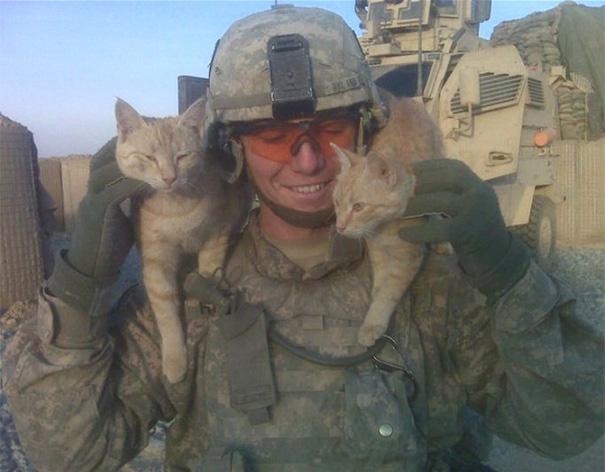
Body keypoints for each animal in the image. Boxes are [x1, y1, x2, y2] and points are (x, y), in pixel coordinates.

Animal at [114, 97, 251, 382]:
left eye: (182, 156)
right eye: (150, 157)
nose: (169, 177)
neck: (175, 208)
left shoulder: (216, 235)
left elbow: (208, 272)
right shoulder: (156, 260)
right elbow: (166, 312)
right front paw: (175, 360)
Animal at [330, 92, 444, 344]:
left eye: (359, 207)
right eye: (337, 203)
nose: (340, 227)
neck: (384, 229)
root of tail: (405, 99)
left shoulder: (407, 258)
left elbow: (388, 292)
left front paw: (373, 323)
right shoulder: (377, 252)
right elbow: (380, 283)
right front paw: (374, 302)